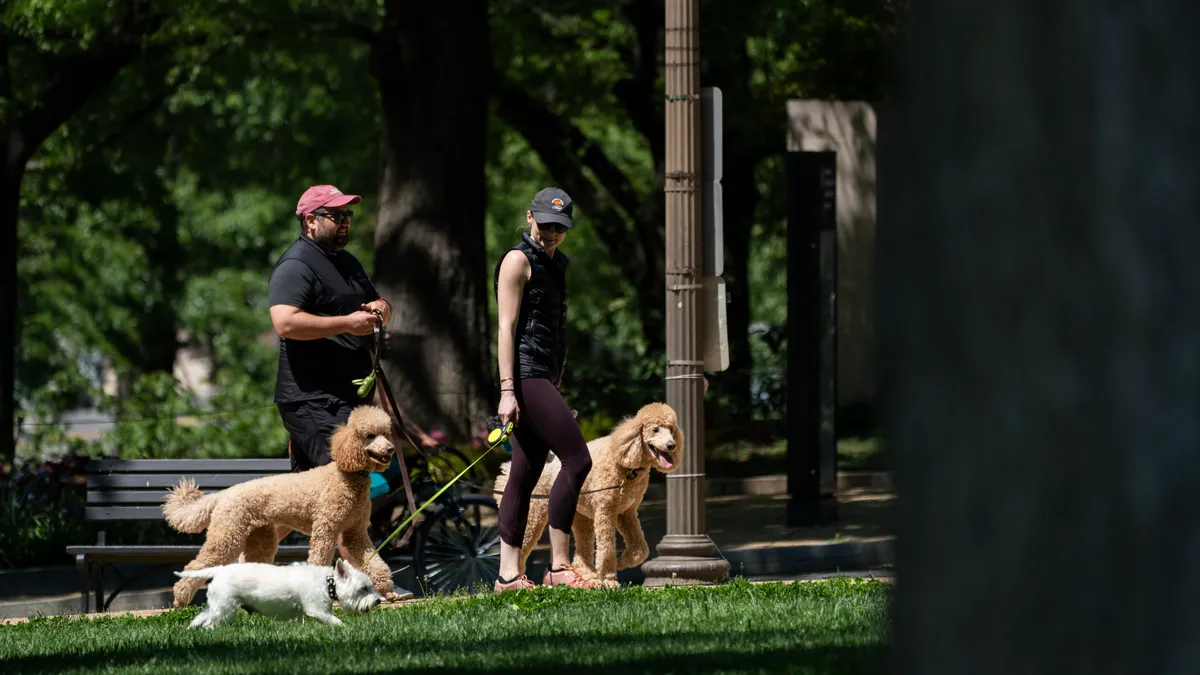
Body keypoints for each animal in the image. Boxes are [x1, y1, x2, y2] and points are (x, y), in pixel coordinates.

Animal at [175, 554, 381, 629]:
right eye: (363, 589)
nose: (378, 600)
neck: (327, 583)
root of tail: (218, 571)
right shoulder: (317, 610)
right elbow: (335, 621)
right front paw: (346, 628)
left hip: (216, 604)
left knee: (200, 618)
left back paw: (191, 629)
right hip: (226, 607)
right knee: (209, 623)